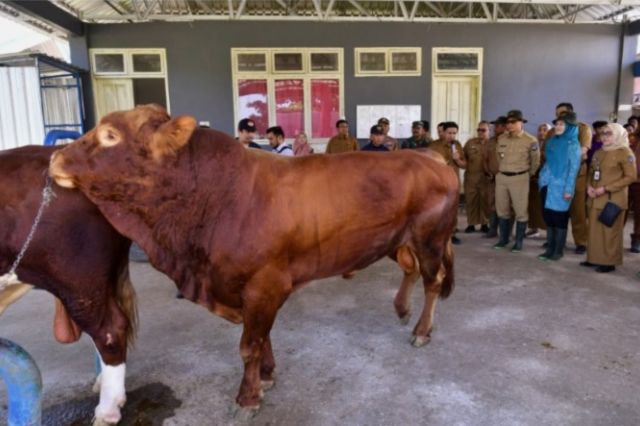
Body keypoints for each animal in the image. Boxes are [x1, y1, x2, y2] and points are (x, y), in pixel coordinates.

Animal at [51, 105, 460, 416]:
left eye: (110, 135)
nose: (55, 156)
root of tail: (427, 155)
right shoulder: (252, 290)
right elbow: (262, 338)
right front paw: (266, 376)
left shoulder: (265, 285)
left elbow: (250, 343)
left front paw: (247, 397)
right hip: (398, 240)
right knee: (410, 270)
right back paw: (402, 309)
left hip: (430, 239)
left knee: (433, 280)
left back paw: (421, 330)